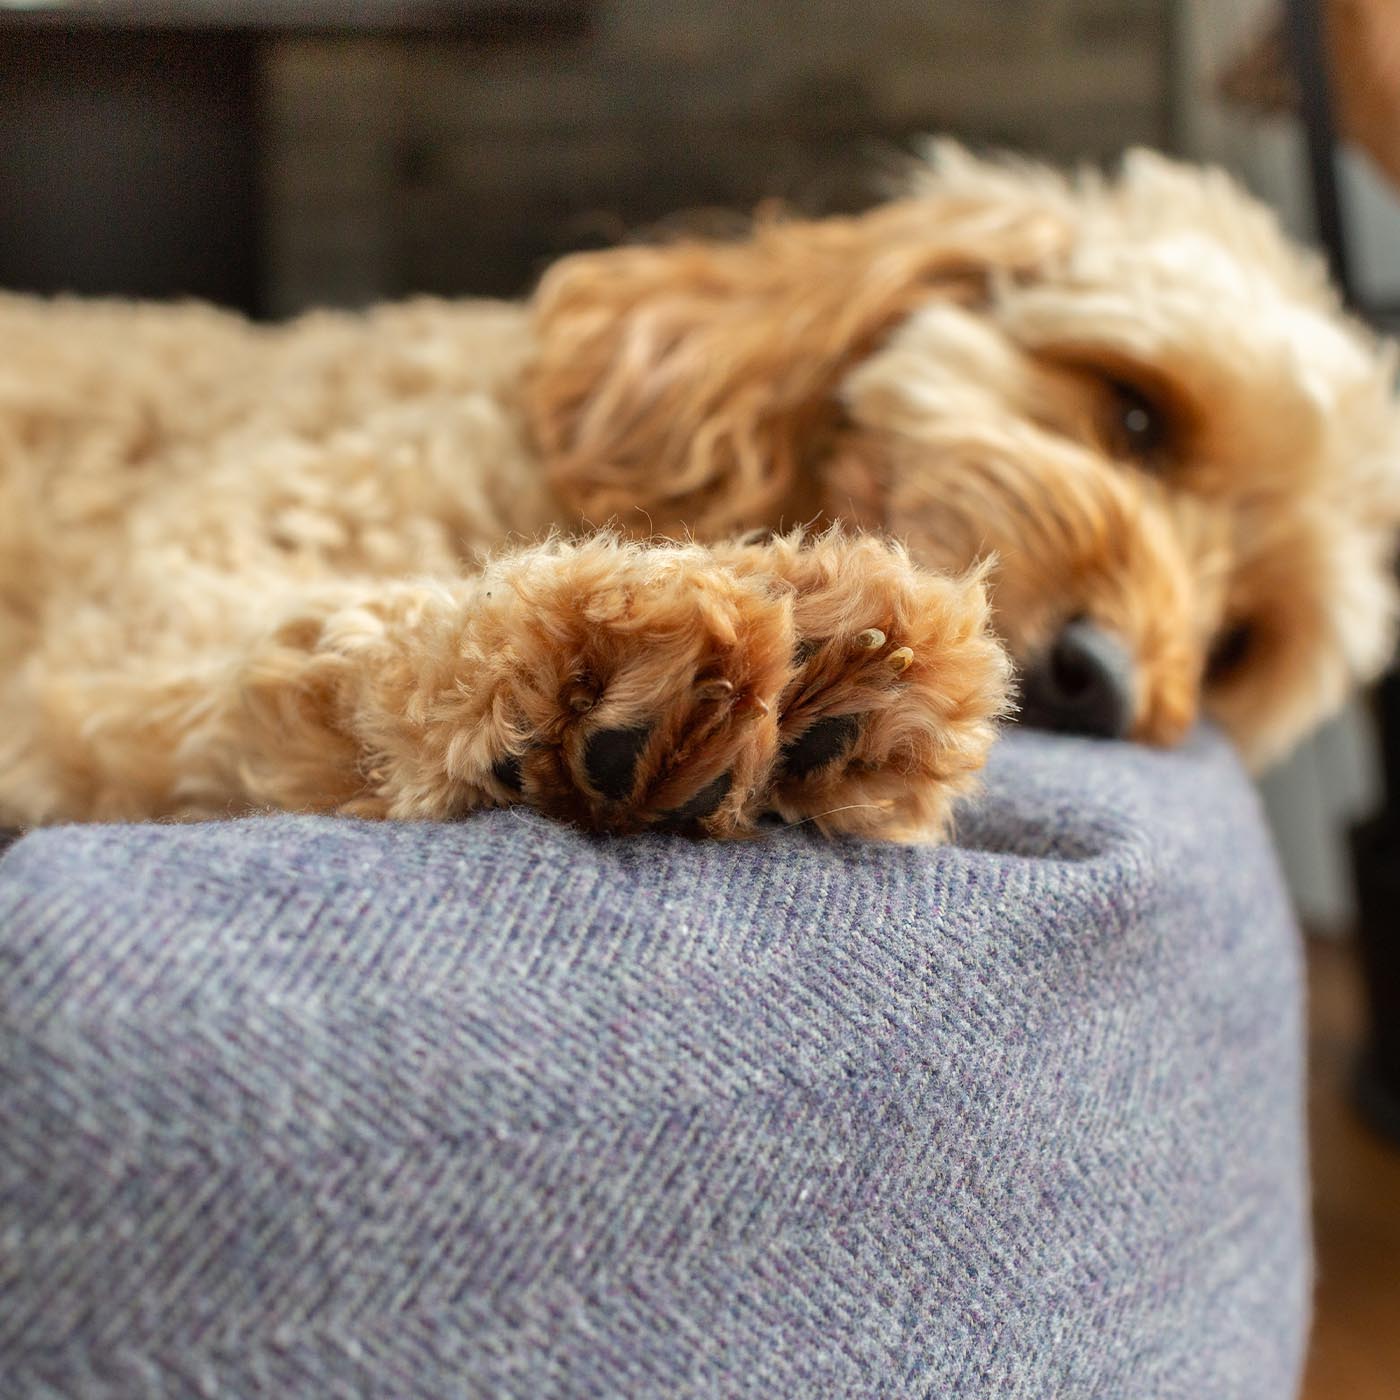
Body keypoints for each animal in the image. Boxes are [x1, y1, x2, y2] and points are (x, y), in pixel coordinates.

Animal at [2, 146, 1400, 834]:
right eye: (1136, 413)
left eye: (1233, 642)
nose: (1101, 687)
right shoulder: (132, 635)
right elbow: (316, 653)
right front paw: (598, 651)